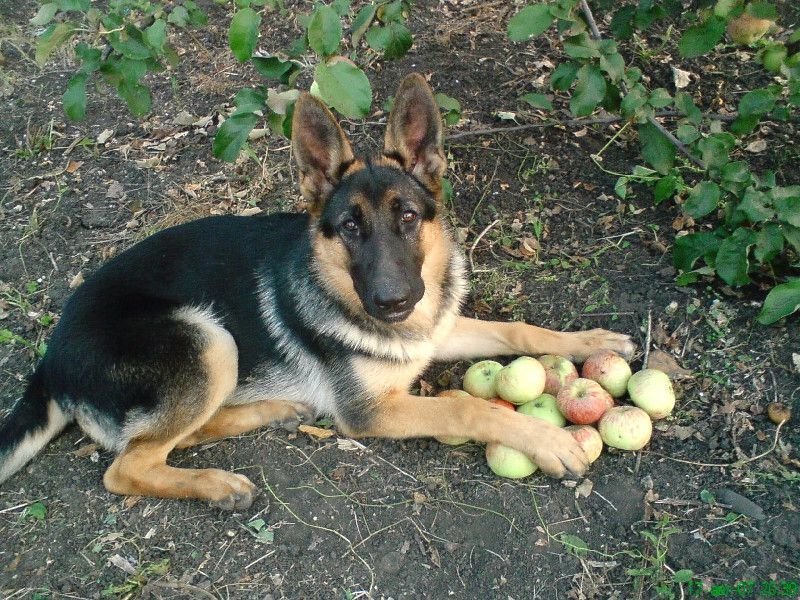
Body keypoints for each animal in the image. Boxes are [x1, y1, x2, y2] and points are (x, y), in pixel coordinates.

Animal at [1, 72, 636, 508]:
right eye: (350, 227)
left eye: (408, 217)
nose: (393, 303)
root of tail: (49, 360)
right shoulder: (371, 412)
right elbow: (466, 407)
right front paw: (544, 440)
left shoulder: (439, 329)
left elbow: (517, 329)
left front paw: (591, 340)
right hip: (208, 339)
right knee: (127, 466)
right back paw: (216, 483)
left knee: (169, 437)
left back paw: (275, 411)